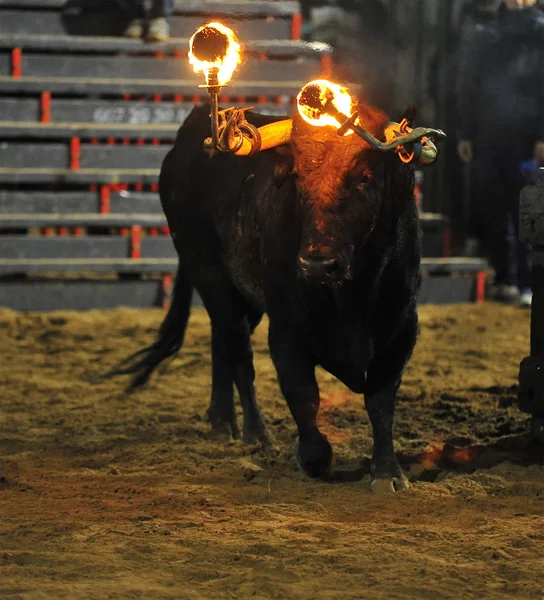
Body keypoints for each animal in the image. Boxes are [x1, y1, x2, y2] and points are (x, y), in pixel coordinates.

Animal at [117, 102, 422, 492]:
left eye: (365, 177)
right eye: (297, 178)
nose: (317, 265)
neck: (352, 293)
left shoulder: (402, 328)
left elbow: (380, 401)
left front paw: (387, 473)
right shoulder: (285, 331)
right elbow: (303, 395)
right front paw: (310, 456)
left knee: (221, 341)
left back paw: (222, 421)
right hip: (208, 271)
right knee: (238, 353)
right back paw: (255, 433)